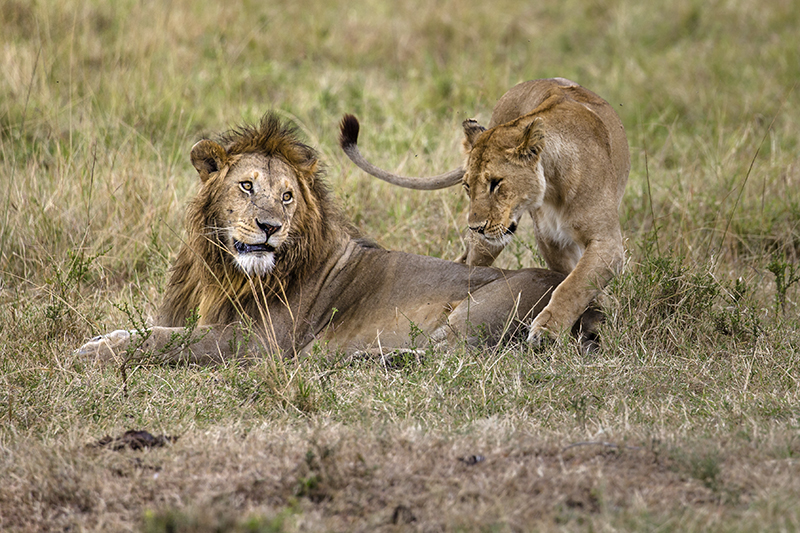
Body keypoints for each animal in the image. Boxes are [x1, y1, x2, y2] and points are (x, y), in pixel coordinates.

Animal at [78, 111, 600, 362]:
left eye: (287, 196)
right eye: (246, 186)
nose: (270, 227)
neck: (225, 270)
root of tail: (595, 305)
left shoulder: (260, 342)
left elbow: (167, 341)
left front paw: (96, 352)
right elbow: (154, 328)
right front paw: (102, 337)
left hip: (488, 307)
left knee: (450, 355)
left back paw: (369, 357)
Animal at [340, 77, 628, 342]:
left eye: (496, 183)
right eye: (468, 186)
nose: (475, 227)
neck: (553, 188)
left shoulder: (607, 242)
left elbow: (575, 284)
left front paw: (548, 330)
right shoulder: (551, 242)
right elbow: (570, 280)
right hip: (489, 245)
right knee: (468, 266)